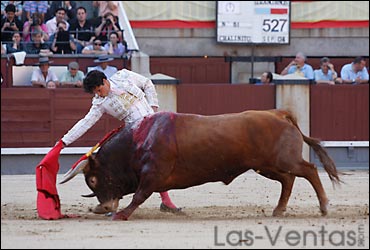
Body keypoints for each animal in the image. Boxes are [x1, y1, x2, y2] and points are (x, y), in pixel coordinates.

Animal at [60, 109, 342, 221]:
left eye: (93, 179)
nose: (103, 207)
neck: (138, 141)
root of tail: (279, 113)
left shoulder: (153, 174)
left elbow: (140, 195)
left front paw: (121, 214)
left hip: (283, 161)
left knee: (308, 171)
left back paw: (324, 206)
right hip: (267, 166)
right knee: (288, 180)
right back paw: (279, 210)